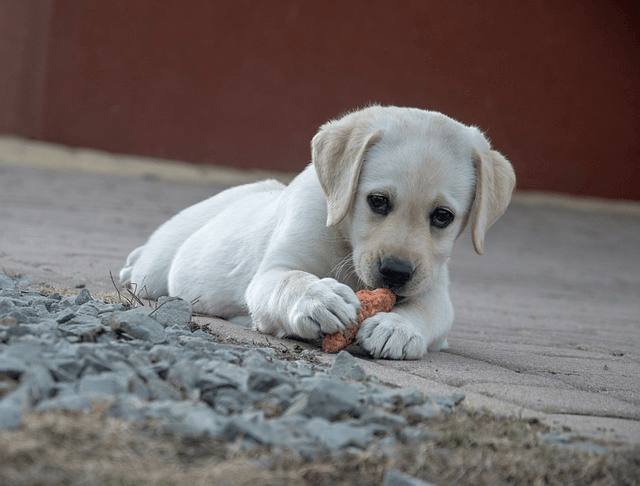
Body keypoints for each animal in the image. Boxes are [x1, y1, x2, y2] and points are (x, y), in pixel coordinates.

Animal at [119, 104, 516, 358]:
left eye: (442, 216)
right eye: (378, 201)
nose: (395, 273)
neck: (346, 243)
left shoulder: (434, 288)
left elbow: (426, 311)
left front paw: (397, 327)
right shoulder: (271, 272)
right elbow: (290, 280)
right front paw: (319, 298)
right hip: (158, 266)